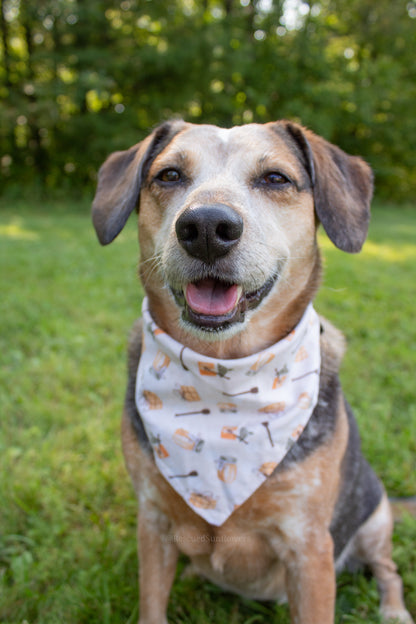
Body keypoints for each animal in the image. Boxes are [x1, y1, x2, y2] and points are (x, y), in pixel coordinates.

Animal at [91, 119, 412, 620]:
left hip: (374, 520)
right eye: (169, 175)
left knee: (388, 570)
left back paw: (394, 609)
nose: (206, 226)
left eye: (275, 178)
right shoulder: (153, 523)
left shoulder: (309, 549)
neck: (225, 372)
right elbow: (152, 604)